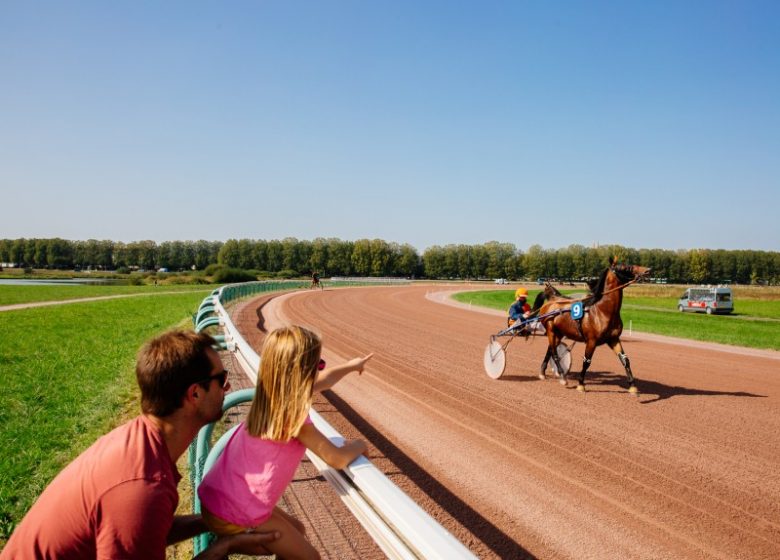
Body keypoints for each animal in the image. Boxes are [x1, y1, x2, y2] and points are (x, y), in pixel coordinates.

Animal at [536, 262, 652, 394]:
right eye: (626, 267)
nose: (648, 270)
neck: (603, 311)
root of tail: (552, 299)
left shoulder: (613, 339)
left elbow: (625, 360)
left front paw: (632, 385)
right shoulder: (592, 340)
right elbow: (586, 362)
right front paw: (581, 384)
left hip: (559, 333)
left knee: (550, 349)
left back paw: (542, 372)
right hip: (551, 330)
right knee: (555, 353)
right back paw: (562, 377)